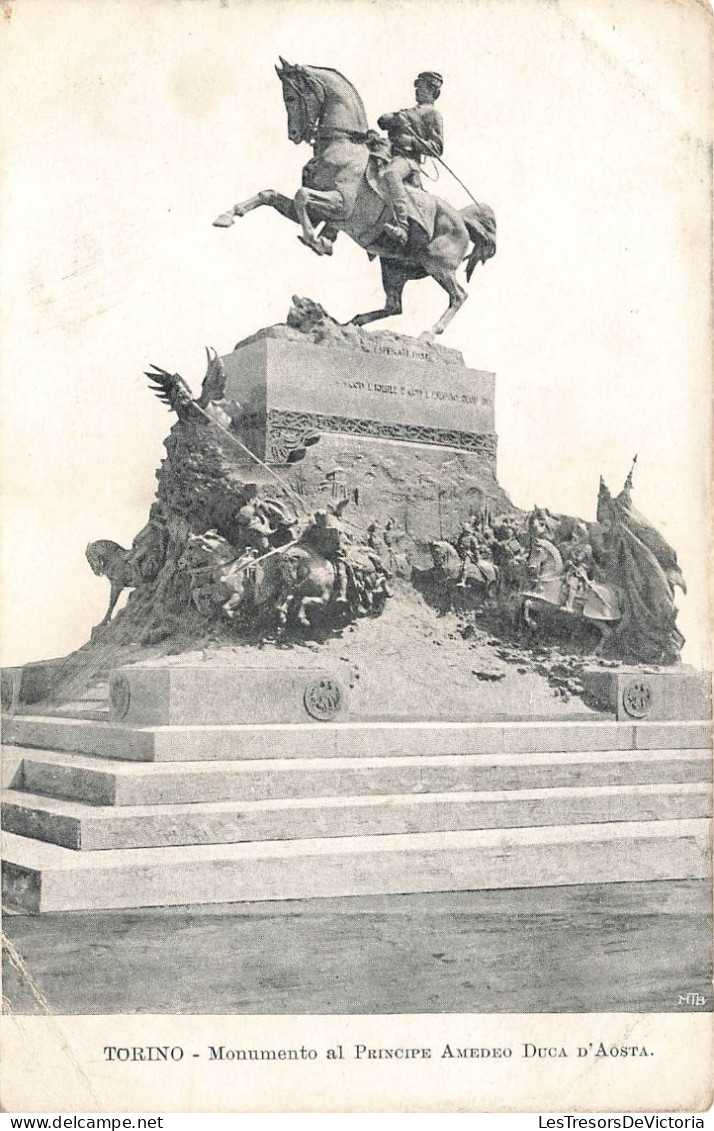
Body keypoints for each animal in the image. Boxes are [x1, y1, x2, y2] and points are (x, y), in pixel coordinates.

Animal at [212, 60, 497, 337]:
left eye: (291, 97)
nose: (294, 135)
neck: (341, 144)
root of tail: (462, 219)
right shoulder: (316, 212)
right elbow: (270, 194)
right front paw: (227, 216)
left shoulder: (340, 205)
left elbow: (301, 196)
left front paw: (315, 241)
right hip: (393, 267)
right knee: (394, 306)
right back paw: (352, 322)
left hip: (437, 264)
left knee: (458, 295)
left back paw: (429, 333)